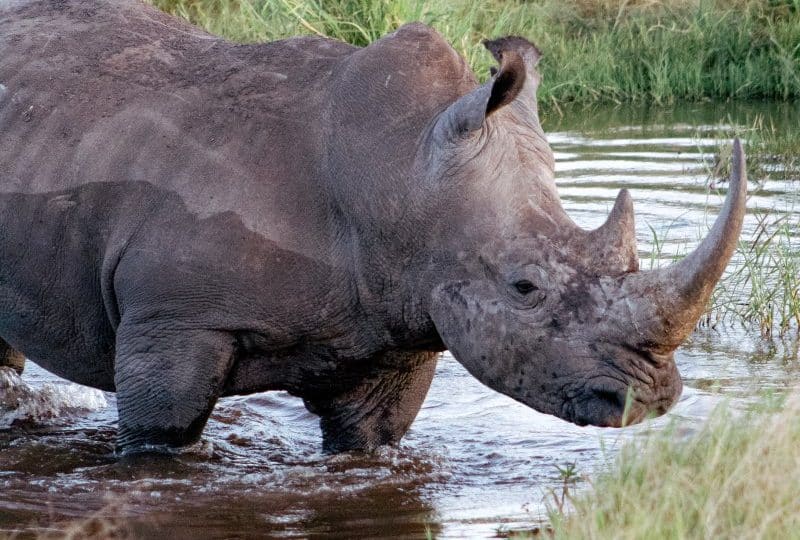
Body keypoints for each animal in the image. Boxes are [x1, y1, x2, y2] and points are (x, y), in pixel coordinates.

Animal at [0, 0, 746, 455]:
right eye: (524, 288)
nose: (653, 397)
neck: (399, 173)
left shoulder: (397, 323)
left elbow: (371, 438)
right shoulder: (174, 320)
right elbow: (165, 432)